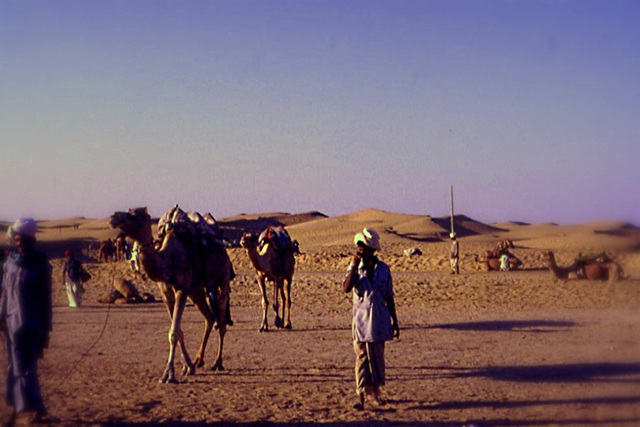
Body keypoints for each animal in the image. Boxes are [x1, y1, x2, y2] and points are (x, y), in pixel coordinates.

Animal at [111, 207, 234, 384]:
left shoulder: (181, 289)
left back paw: (218, 363)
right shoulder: (166, 293)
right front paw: (187, 366)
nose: (113, 217)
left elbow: (174, 332)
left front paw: (168, 374)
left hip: (222, 279)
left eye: (135, 215)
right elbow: (178, 330)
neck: (167, 260)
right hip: (196, 290)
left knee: (222, 322)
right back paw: (199, 359)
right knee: (210, 318)